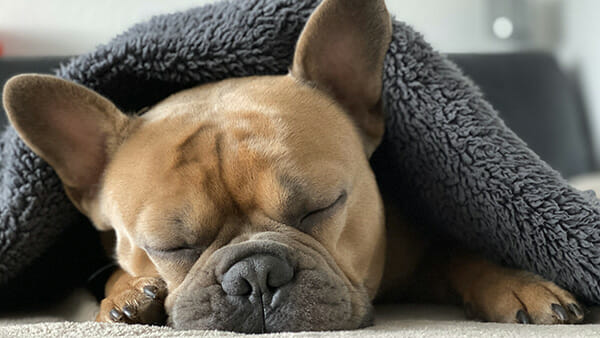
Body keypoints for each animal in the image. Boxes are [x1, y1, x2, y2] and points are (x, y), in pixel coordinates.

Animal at [1, 0, 580, 332]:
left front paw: (517, 284)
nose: (255, 274)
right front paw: (126, 296)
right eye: (169, 246)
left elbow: (459, 253)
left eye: (322, 207)